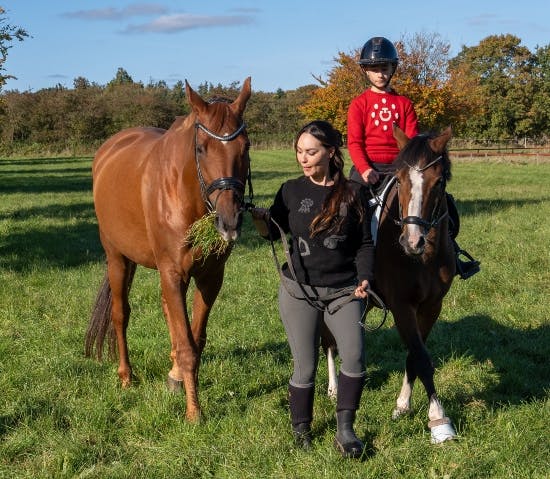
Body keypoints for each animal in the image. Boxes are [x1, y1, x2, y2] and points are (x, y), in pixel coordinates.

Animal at [85, 77, 253, 422]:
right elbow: (188, 347)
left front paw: (180, 380)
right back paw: (126, 376)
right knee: (120, 314)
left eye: (246, 146)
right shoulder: (173, 273)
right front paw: (195, 413)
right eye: (201, 148)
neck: (184, 193)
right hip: (117, 258)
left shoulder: (210, 277)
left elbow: (195, 338)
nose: (229, 221)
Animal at [326, 125, 460, 444]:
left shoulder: (431, 306)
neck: (422, 259)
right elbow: (421, 358)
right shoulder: (402, 307)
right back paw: (333, 387)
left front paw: (403, 405)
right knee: (328, 341)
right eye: (399, 180)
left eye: (439, 182)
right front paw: (439, 419)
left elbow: (415, 355)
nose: (412, 242)